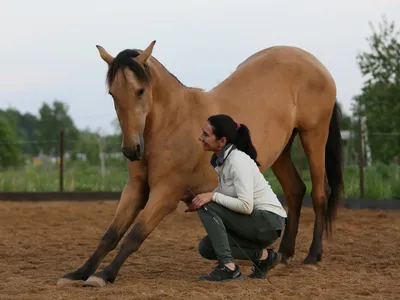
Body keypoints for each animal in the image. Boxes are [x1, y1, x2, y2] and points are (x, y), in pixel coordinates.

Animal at [56, 39, 344, 288]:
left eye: (140, 91)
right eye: (113, 93)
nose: (131, 149)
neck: (170, 123)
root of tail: (313, 62)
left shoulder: (166, 194)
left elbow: (135, 234)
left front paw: (104, 275)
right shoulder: (136, 189)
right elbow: (111, 233)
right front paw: (79, 273)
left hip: (313, 135)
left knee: (320, 193)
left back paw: (312, 257)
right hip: (281, 151)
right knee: (295, 191)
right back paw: (283, 254)